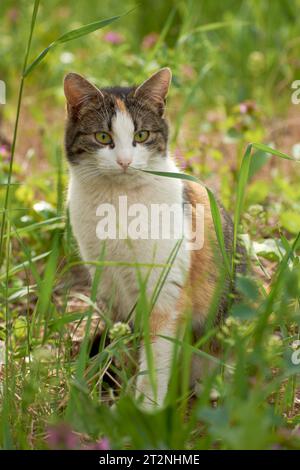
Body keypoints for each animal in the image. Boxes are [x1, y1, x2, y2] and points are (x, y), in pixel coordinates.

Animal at [63, 68, 239, 410]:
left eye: (142, 135)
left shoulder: (166, 294)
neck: (118, 201)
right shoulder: (111, 292)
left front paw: (146, 411)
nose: (124, 161)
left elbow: (154, 361)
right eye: (102, 137)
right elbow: (124, 349)